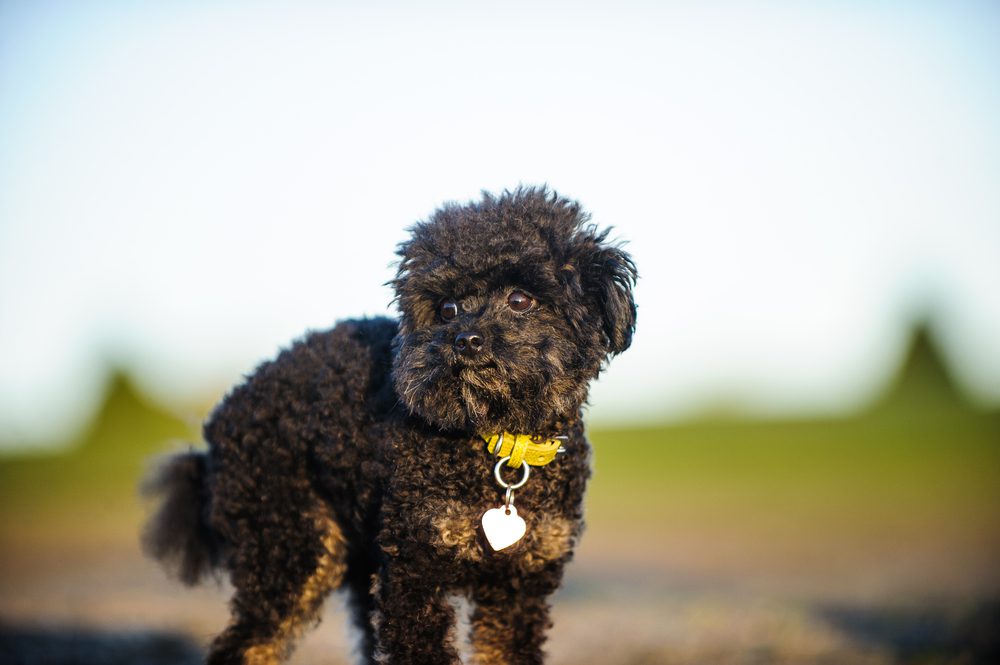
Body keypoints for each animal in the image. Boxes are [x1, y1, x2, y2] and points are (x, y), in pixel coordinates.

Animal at [142, 187, 636, 664]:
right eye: (447, 308)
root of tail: (220, 423)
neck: (498, 442)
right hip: (289, 547)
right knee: (246, 643)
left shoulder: (519, 586)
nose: (465, 341)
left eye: (520, 300)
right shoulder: (413, 569)